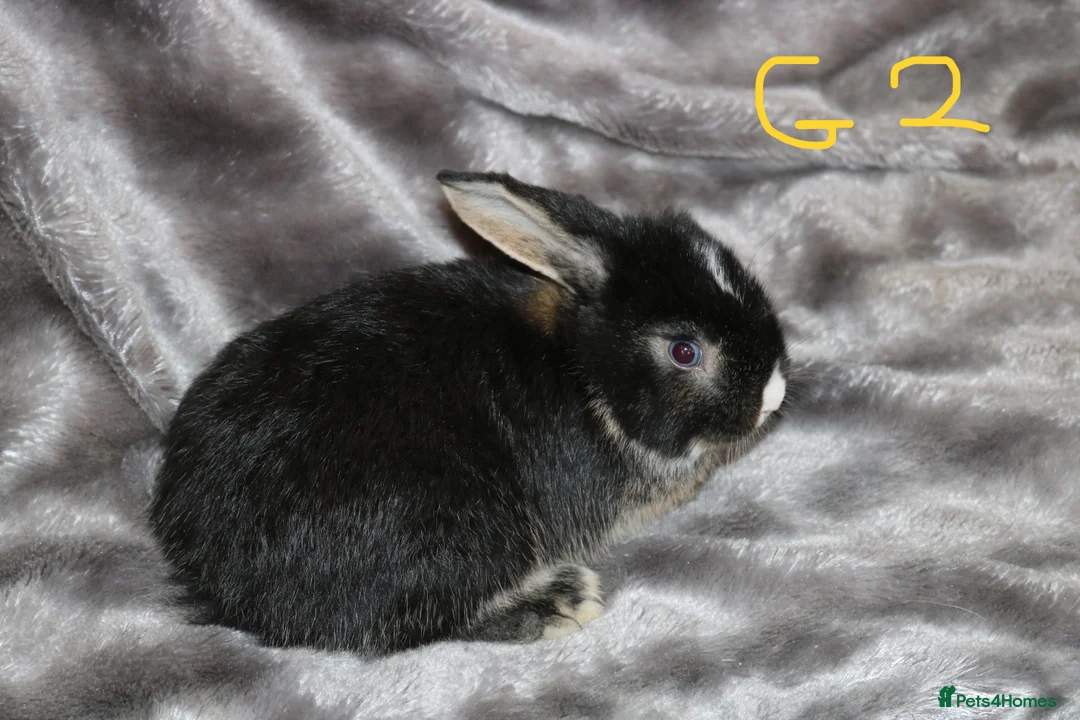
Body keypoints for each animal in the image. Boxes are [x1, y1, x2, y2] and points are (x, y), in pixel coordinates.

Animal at [148, 170, 789, 656]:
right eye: (684, 351)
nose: (776, 393)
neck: (584, 371)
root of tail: (216, 573)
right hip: (458, 532)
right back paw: (560, 601)